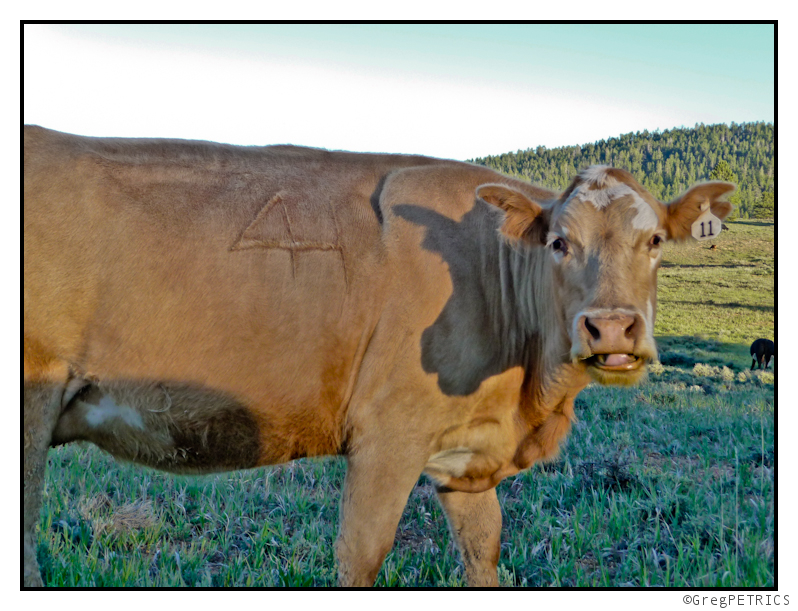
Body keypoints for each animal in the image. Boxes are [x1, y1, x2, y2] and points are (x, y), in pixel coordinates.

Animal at [23, 125, 736, 588]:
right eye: (559, 242)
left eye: (655, 241)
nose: (611, 328)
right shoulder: (388, 436)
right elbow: (362, 555)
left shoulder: (463, 453)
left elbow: (484, 551)